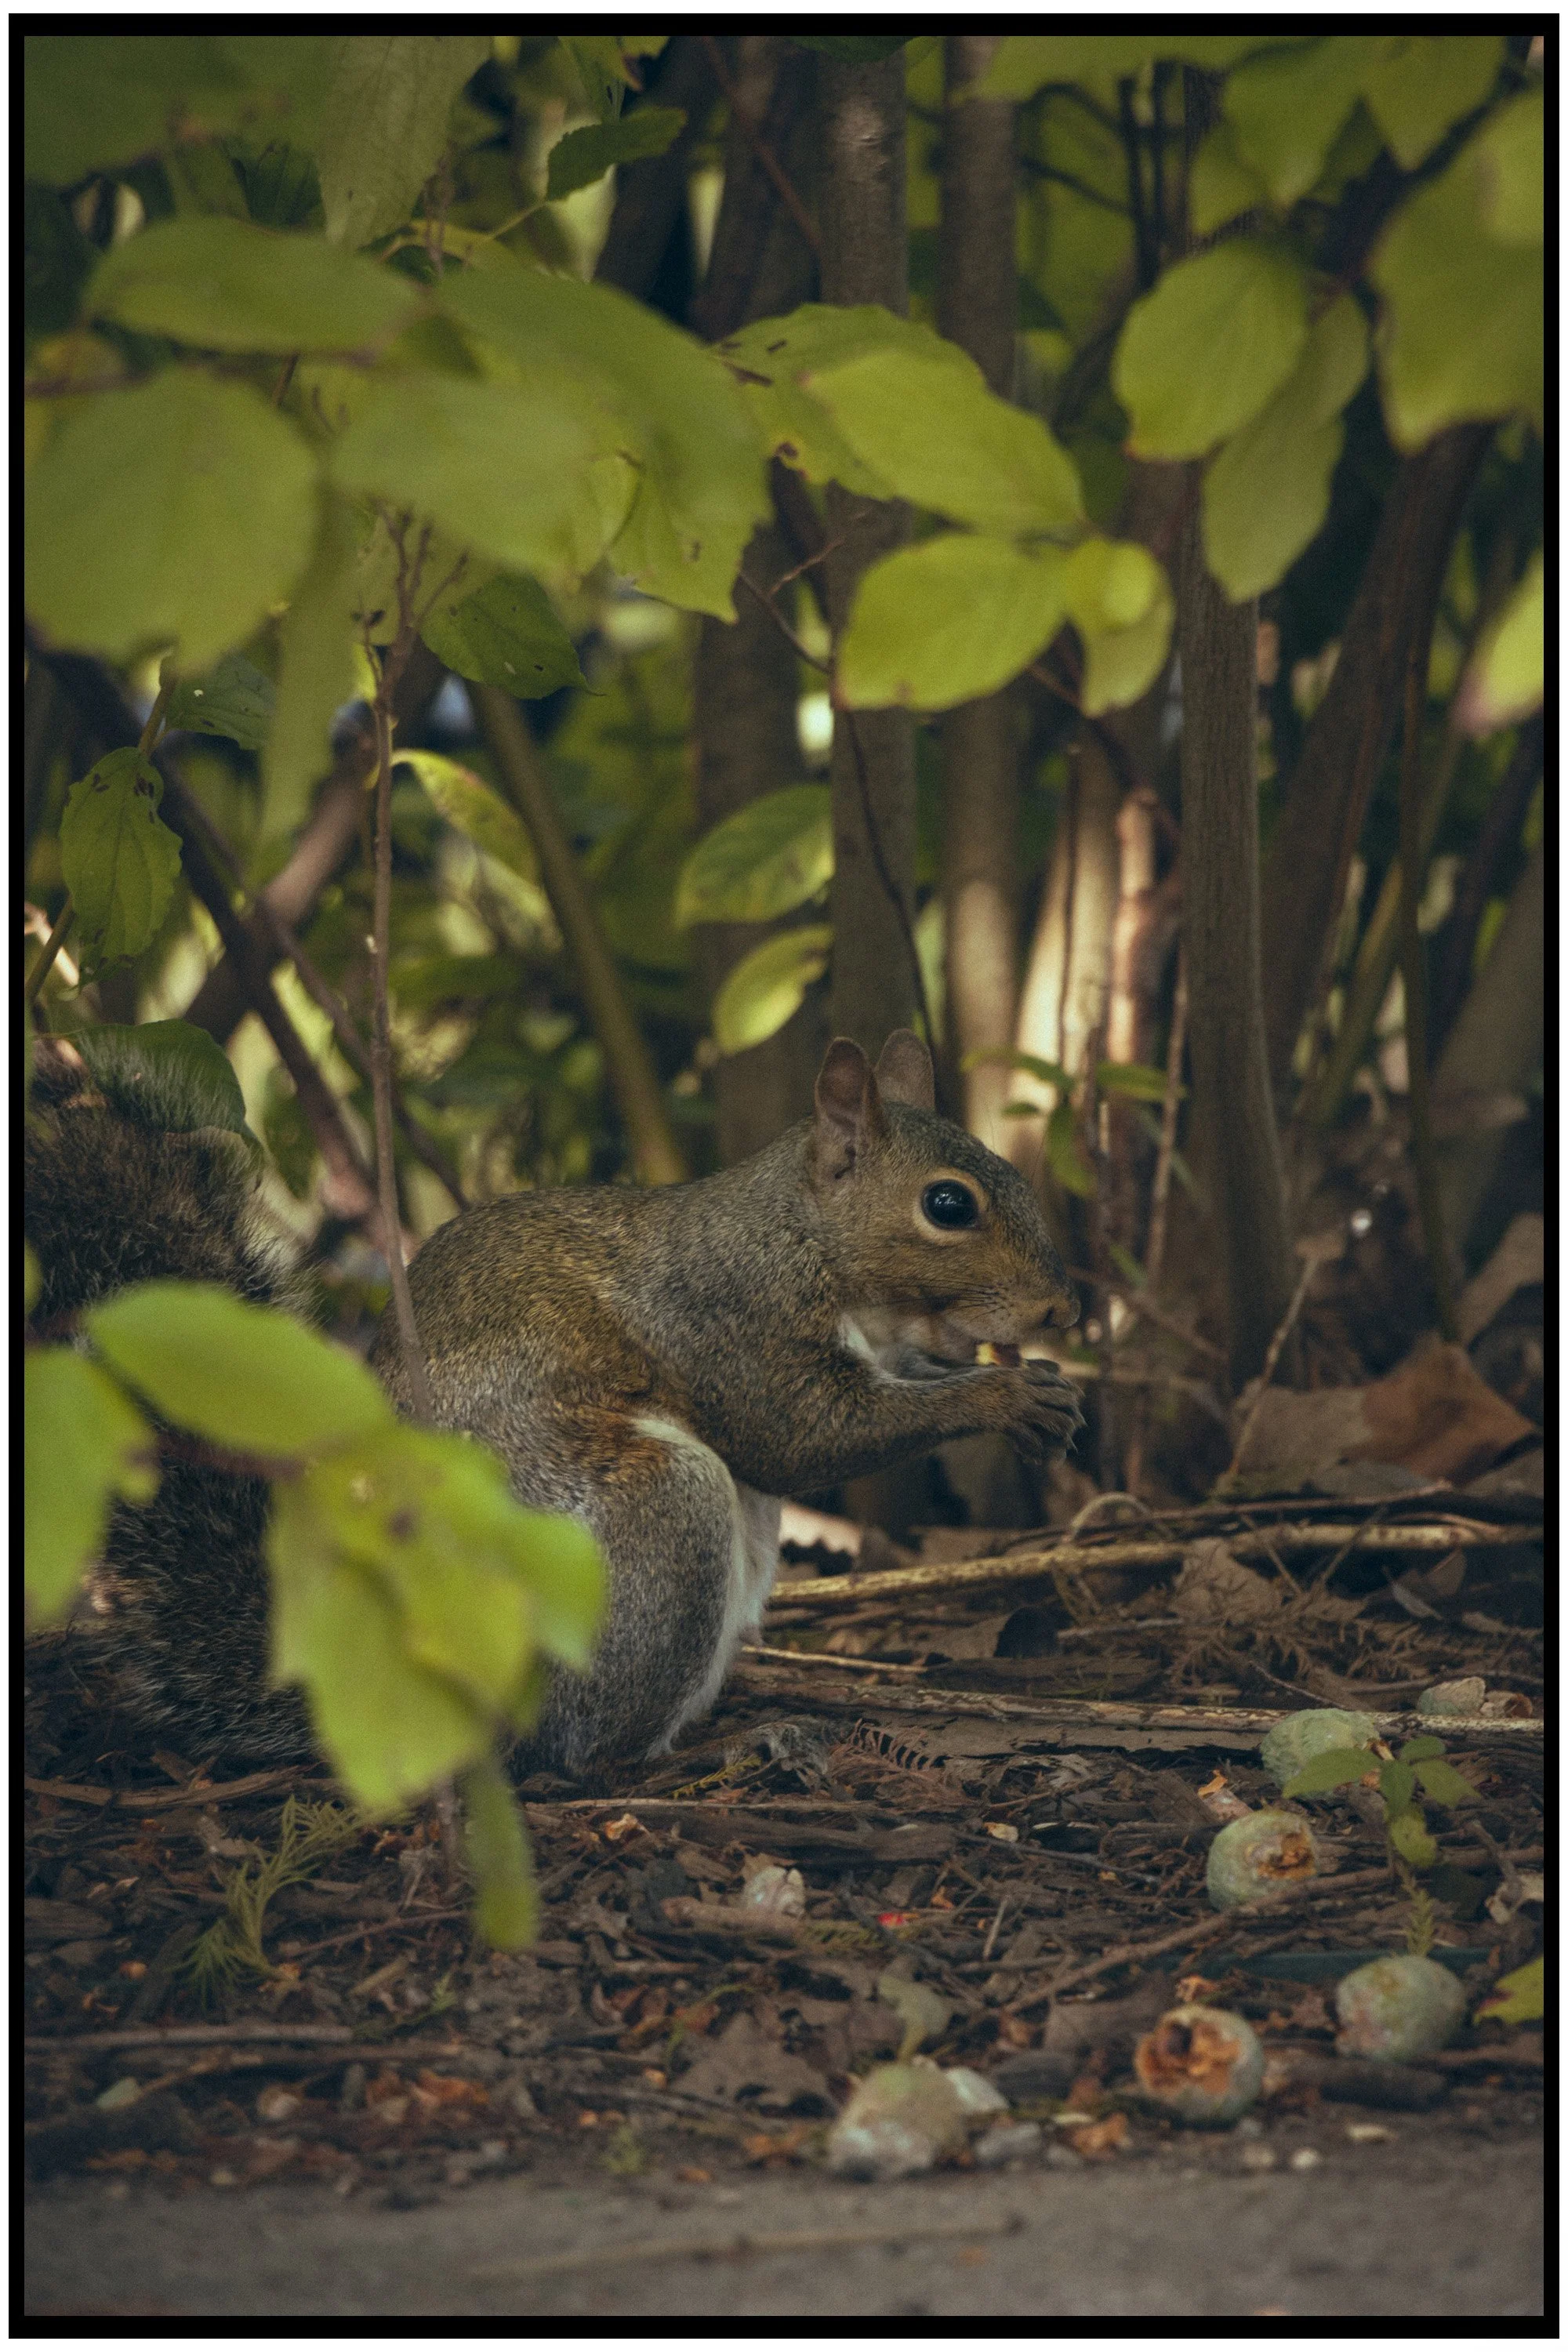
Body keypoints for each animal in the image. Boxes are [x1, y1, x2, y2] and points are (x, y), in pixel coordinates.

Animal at [26, 1030, 1082, 1776]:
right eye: (946, 1206)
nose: (1059, 1305)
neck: (802, 1237)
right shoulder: (727, 1320)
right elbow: (801, 1437)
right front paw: (1002, 1394)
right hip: (657, 1514)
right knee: (582, 1753)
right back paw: (715, 1747)